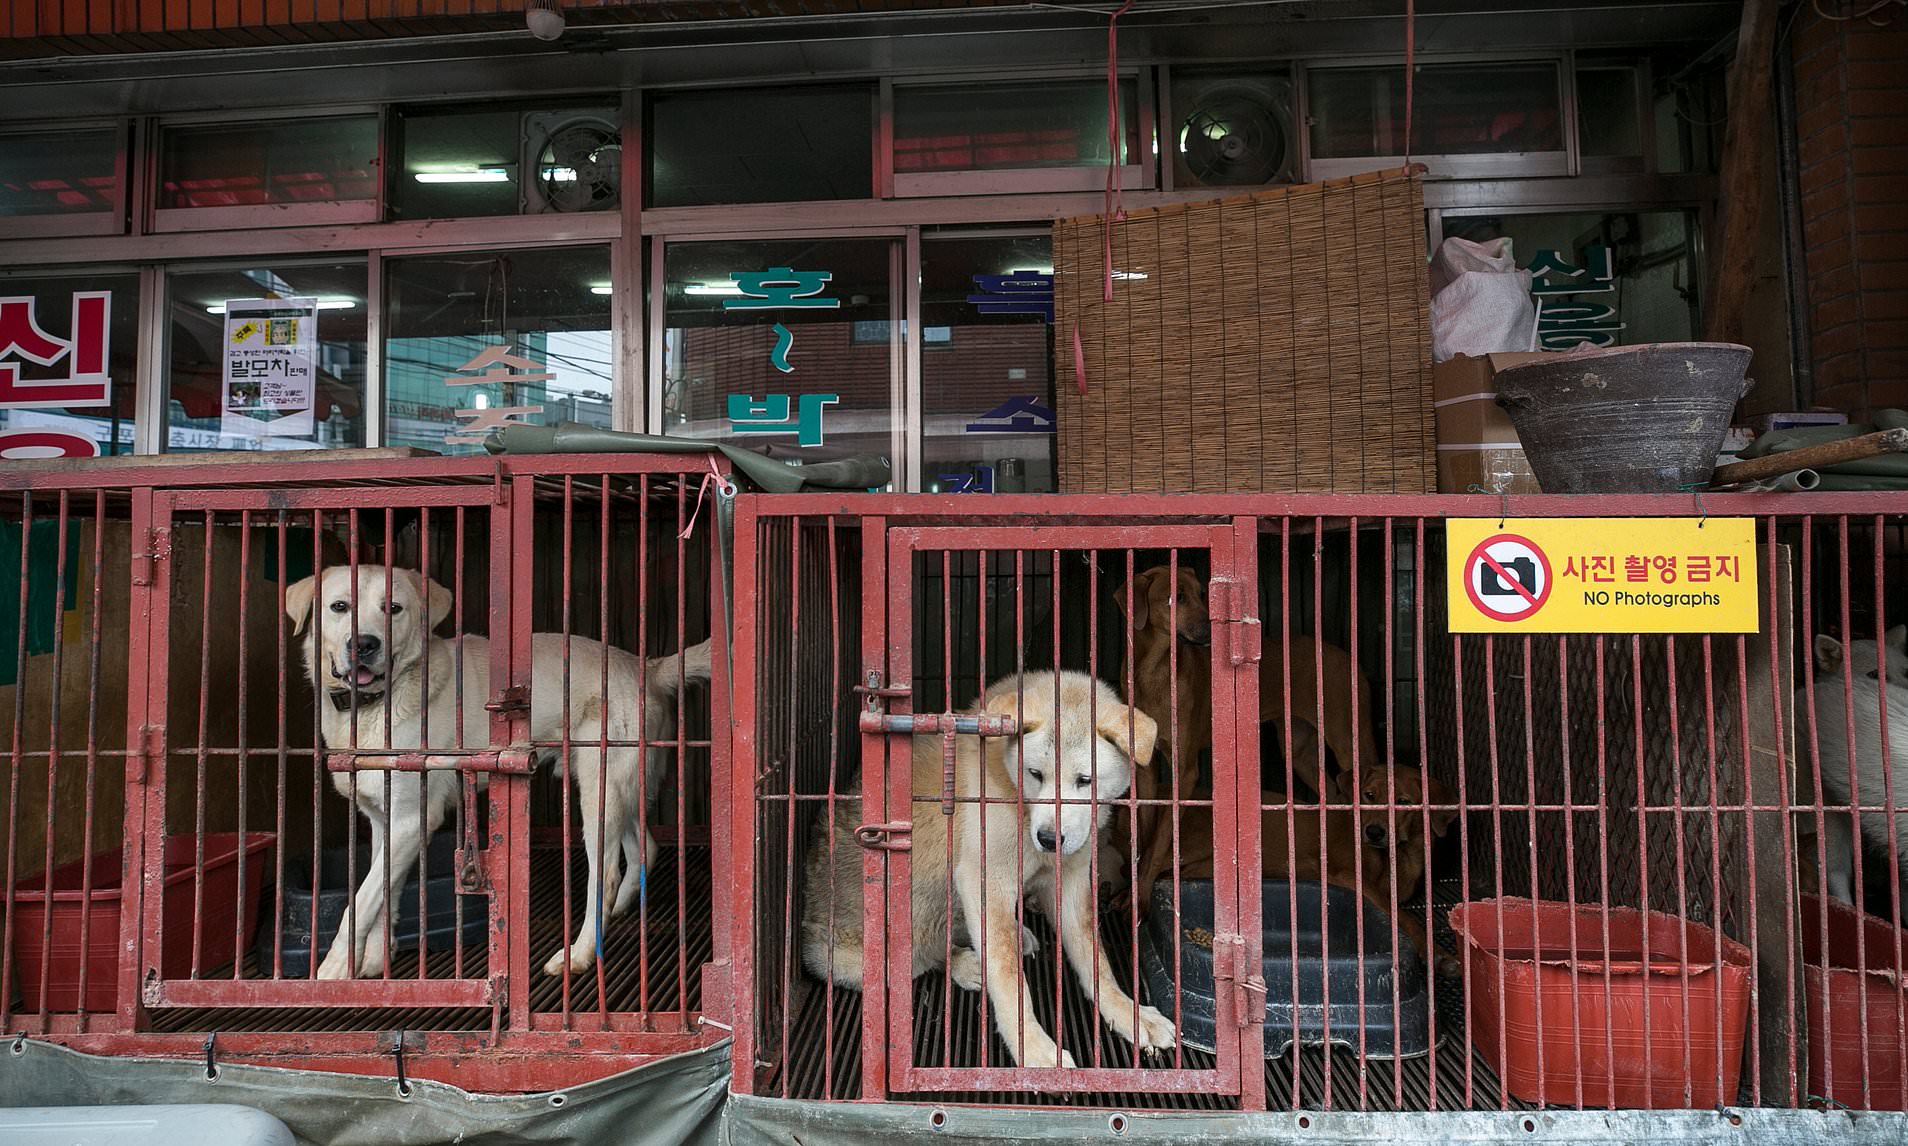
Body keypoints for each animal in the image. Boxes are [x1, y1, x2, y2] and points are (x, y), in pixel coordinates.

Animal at [278, 568, 705, 976]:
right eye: (339, 607)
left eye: (394, 609)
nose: (364, 644)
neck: (375, 705)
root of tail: (646, 667)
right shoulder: (386, 822)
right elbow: (386, 893)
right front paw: (375, 961)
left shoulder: (413, 818)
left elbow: (362, 900)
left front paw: (334, 970)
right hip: (622, 787)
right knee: (644, 847)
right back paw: (615, 914)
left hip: (599, 790)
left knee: (607, 874)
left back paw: (580, 953)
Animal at [793, 671, 1175, 1075]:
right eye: (1035, 774)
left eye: (1085, 781)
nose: (1048, 839)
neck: (1017, 797)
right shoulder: (985, 882)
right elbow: (1009, 979)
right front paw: (1032, 1047)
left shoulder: (1071, 884)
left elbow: (1096, 962)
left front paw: (1130, 1014)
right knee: (928, 958)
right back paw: (967, 964)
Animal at [1114, 568, 1381, 907]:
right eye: (1178, 597)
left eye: (1203, 594)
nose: (1212, 630)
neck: (1154, 670)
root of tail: (1345, 656)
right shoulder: (1145, 769)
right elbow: (1145, 834)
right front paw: (1130, 890)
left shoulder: (1185, 772)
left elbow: (1161, 840)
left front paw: (1141, 897)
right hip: (1298, 752)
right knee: (1332, 794)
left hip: (1349, 739)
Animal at [1175, 762, 1457, 968]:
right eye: (1369, 795)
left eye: (1403, 802)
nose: (1374, 832)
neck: (1398, 854)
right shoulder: (1347, 875)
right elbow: (1401, 914)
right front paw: (1436, 952)